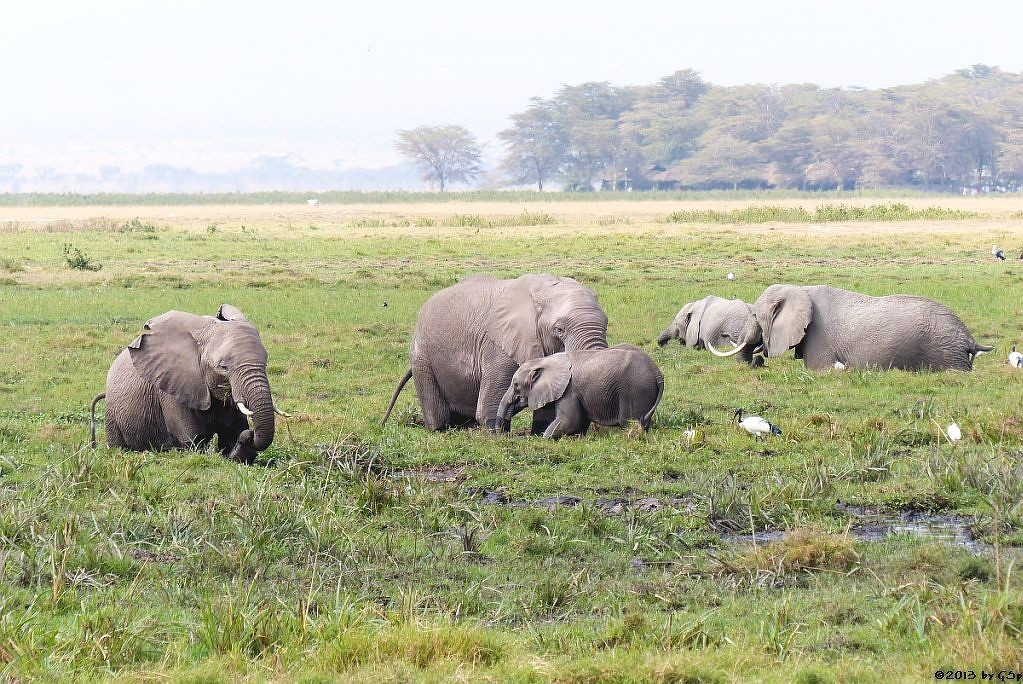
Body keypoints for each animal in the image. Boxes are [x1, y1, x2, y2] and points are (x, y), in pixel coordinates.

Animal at [90, 304, 286, 462]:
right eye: (223, 367)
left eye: (265, 363)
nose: (250, 434)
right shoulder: (171, 387)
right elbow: (193, 439)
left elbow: (231, 435)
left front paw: (237, 442)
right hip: (112, 413)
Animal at [382, 274, 605, 429]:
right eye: (559, 330)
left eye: (606, 323)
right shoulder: (498, 345)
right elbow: (489, 407)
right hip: (422, 357)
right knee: (438, 415)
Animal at [493, 347, 662, 437]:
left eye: (516, 385)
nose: (503, 435)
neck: (545, 361)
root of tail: (657, 373)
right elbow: (580, 421)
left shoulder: (569, 390)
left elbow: (570, 420)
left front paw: (544, 438)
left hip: (635, 391)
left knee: (629, 421)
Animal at [712, 282, 990, 368]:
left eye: (755, 316)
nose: (757, 362)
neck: (801, 289)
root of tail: (969, 339)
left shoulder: (818, 338)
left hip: (946, 354)